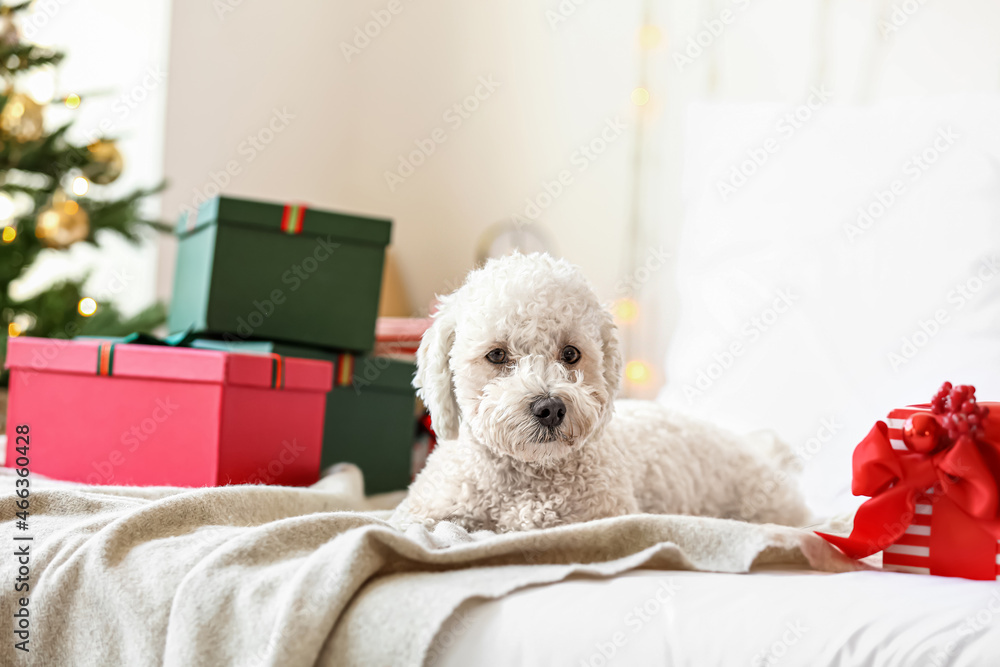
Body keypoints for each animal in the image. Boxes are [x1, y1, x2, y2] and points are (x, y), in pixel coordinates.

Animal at [392, 253, 812, 536]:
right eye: (496, 355)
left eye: (571, 354)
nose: (550, 408)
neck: (527, 478)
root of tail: (758, 451)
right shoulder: (424, 510)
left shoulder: (600, 517)